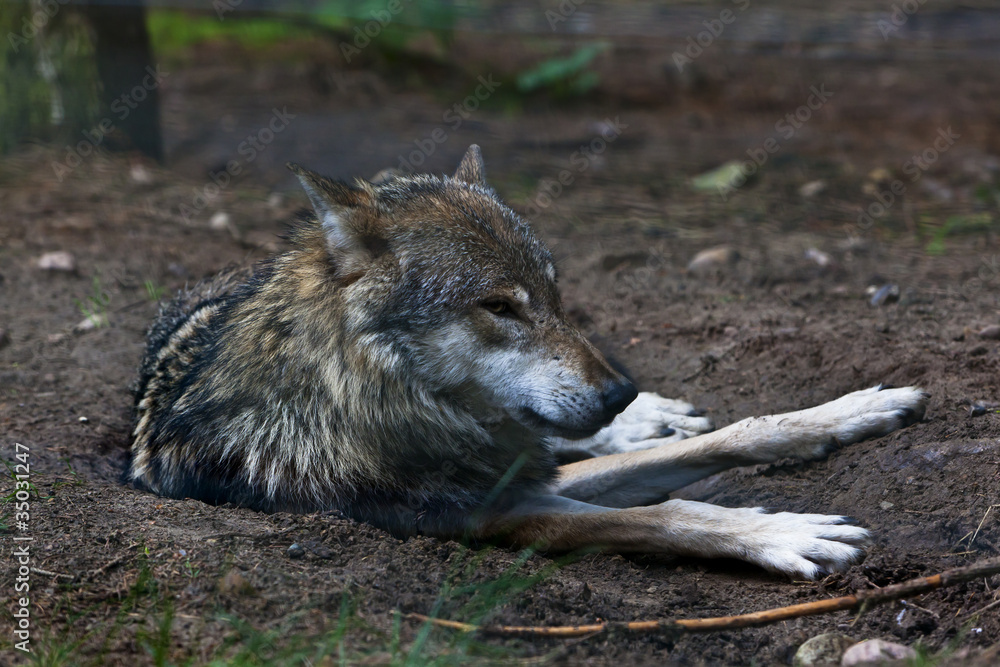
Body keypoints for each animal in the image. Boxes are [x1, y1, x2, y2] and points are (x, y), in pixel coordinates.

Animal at [130, 145, 927, 580]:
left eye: (553, 291)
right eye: (499, 307)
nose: (621, 391)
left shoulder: (530, 471)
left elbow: (735, 433)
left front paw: (855, 409)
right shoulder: (494, 515)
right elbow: (670, 512)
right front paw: (781, 533)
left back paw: (654, 418)